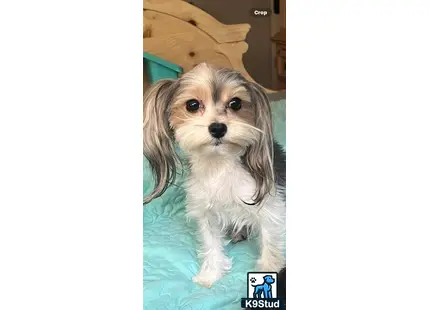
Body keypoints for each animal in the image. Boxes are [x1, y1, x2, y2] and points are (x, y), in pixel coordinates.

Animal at [144, 63, 286, 288]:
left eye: (235, 103)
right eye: (192, 105)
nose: (218, 128)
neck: (219, 163)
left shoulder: (270, 207)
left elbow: (269, 241)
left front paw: (270, 271)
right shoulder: (206, 213)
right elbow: (210, 243)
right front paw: (210, 274)